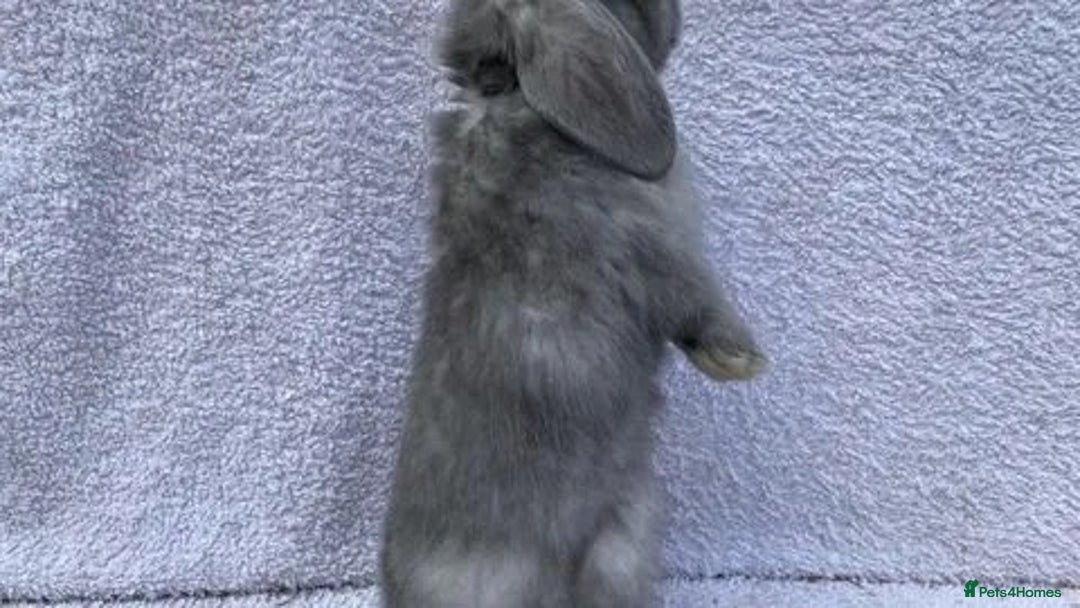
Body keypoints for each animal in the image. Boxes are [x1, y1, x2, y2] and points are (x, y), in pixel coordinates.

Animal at [379, 1, 766, 606]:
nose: (680, 17)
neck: (513, 99)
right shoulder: (654, 248)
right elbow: (697, 300)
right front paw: (740, 361)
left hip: (621, 542)